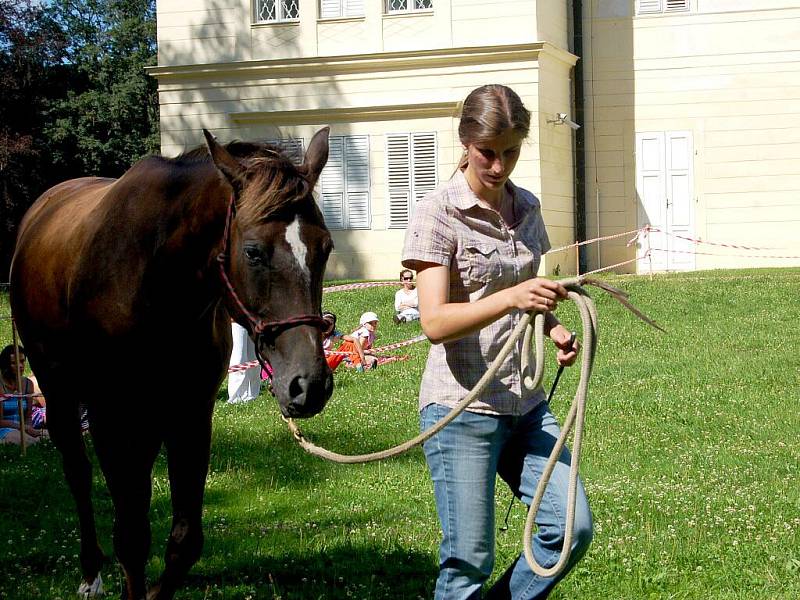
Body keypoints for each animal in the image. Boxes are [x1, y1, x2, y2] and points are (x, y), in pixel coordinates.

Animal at [9, 129, 334, 596]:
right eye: (253, 252)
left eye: (325, 247)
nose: (309, 384)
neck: (157, 282)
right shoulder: (113, 422)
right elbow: (131, 538)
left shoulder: (190, 416)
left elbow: (184, 542)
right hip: (60, 396)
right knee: (79, 475)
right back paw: (90, 573)